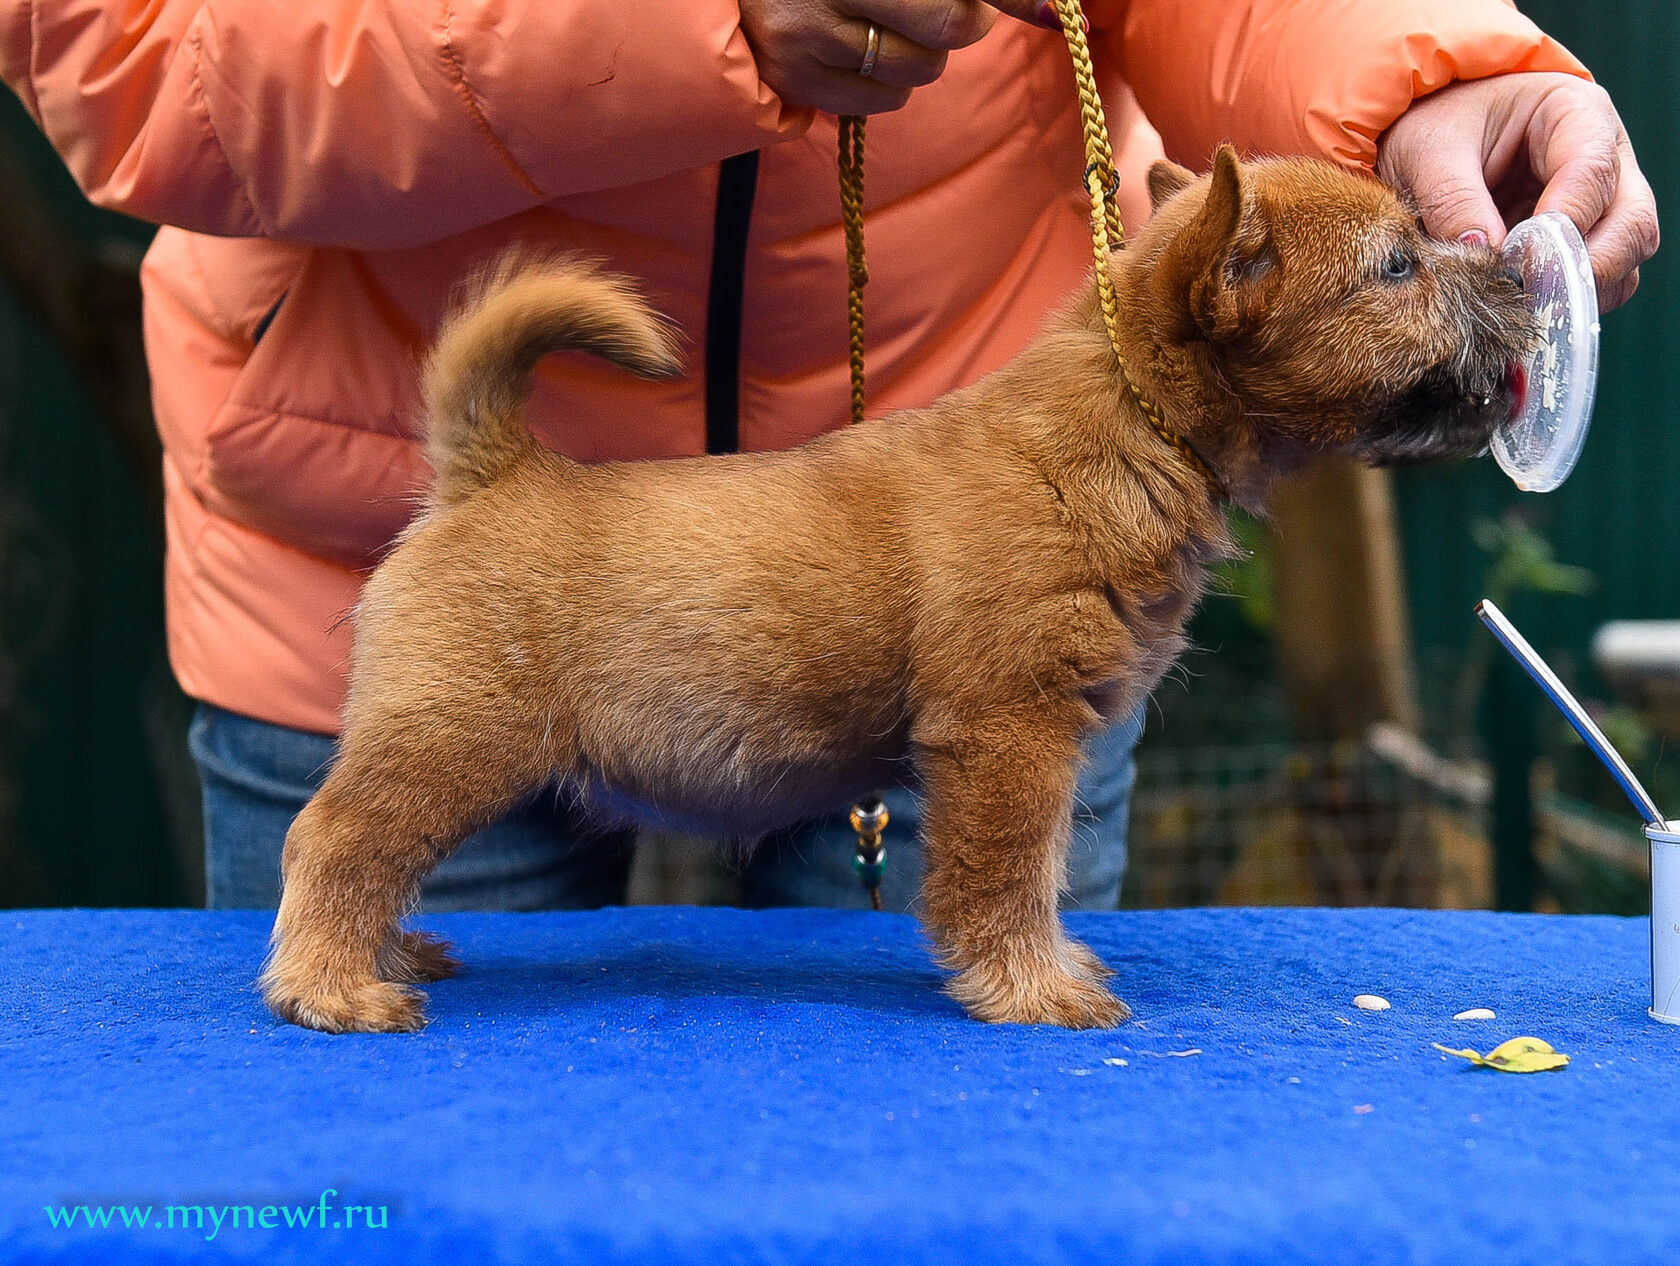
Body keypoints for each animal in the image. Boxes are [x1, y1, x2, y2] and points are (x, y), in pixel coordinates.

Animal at [262, 150, 1538, 1034]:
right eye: (1399, 266)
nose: (1521, 267)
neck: (1130, 422)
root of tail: (491, 468)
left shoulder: (1031, 738)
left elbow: (1033, 873)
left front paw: (1047, 970)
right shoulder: (1008, 735)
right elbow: (1008, 876)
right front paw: (1033, 990)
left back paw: (382, 957)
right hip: (453, 741)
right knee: (333, 841)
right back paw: (332, 988)